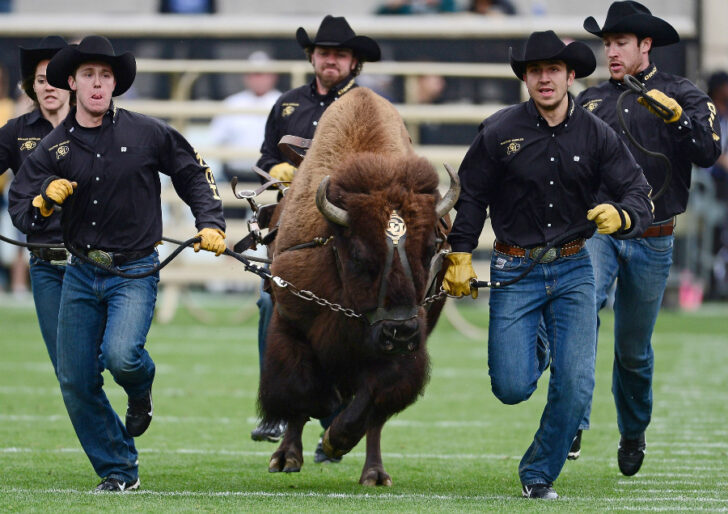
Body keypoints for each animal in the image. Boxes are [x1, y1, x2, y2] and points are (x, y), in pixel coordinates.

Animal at [258, 88, 458, 484]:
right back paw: (287, 458)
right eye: (361, 257)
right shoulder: (292, 323)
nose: (399, 332)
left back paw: (374, 474)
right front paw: (289, 454)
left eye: (431, 248)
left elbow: (371, 402)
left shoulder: (404, 351)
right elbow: (301, 390)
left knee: (374, 417)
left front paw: (336, 441)